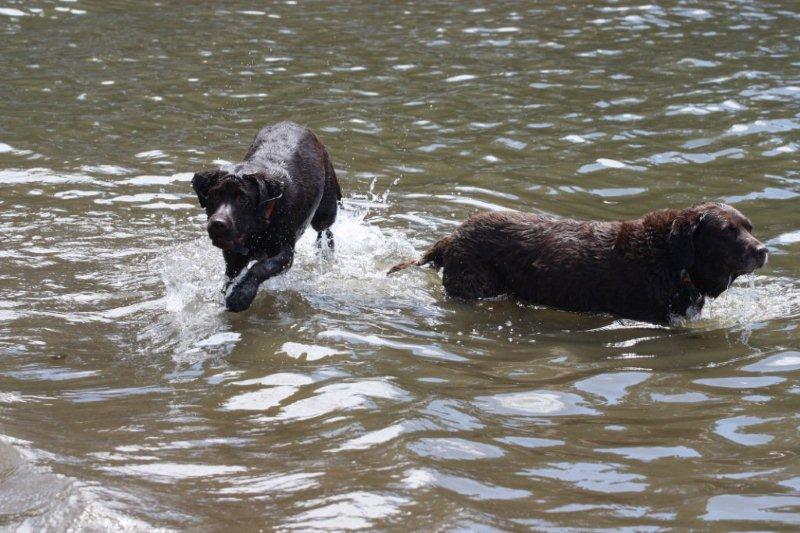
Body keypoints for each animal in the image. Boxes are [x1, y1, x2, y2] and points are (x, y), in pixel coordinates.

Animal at [196, 121, 344, 312]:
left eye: (243, 199)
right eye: (214, 195)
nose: (218, 224)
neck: (258, 226)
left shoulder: (285, 252)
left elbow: (260, 267)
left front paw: (242, 296)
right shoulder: (233, 254)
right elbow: (231, 276)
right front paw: (229, 293)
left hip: (326, 208)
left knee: (325, 230)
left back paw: (325, 251)